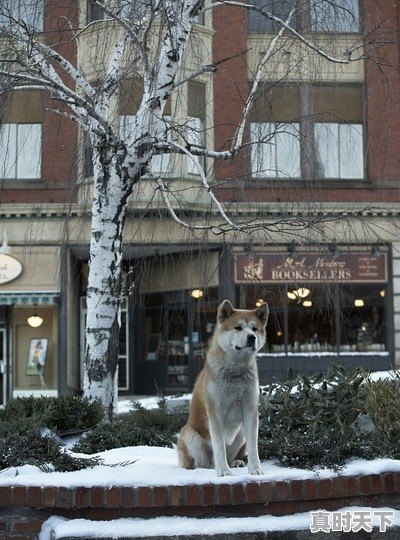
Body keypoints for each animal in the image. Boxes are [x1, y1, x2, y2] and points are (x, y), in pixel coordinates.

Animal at [176, 300, 268, 476]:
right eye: (238, 327)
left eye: (254, 329)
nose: (252, 338)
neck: (235, 374)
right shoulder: (215, 410)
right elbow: (219, 446)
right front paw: (224, 472)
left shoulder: (250, 408)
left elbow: (253, 446)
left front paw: (255, 469)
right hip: (190, 435)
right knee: (205, 462)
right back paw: (209, 468)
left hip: (240, 434)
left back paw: (236, 462)